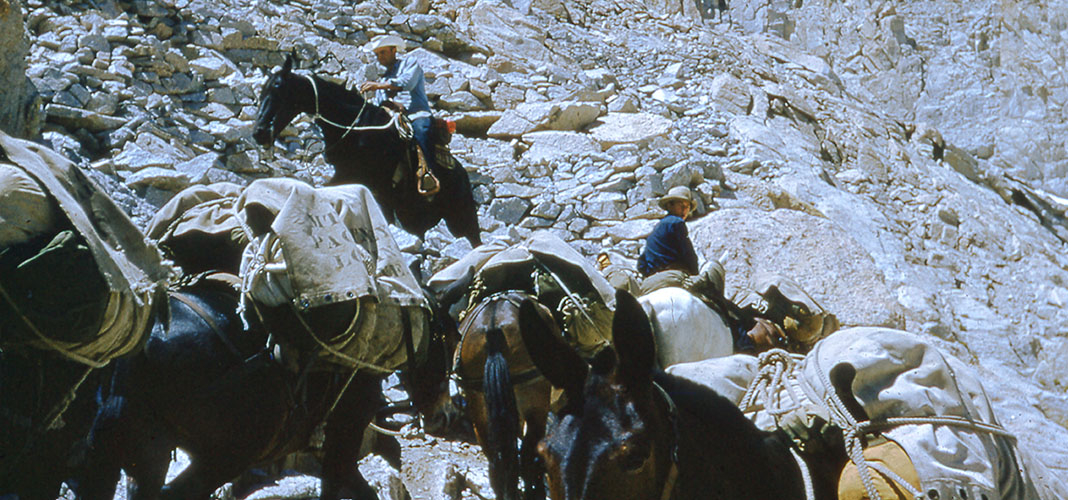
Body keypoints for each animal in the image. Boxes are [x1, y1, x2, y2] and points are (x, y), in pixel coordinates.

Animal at [249, 55, 480, 246]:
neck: (355, 127)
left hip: (461, 219)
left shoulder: (352, 176)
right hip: (412, 216)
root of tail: (462, 174)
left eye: (278, 89)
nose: (259, 132)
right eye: (262, 91)